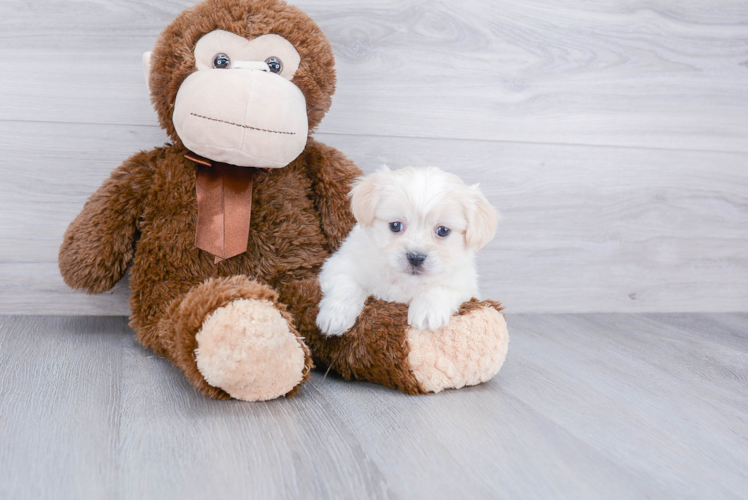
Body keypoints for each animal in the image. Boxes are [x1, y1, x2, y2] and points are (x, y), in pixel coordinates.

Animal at [314, 168, 496, 336]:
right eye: (395, 226)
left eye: (443, 231)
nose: (415, 257)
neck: (404, 279)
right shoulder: (338, 265)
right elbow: (347, 285)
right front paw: (336, 316)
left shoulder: (465, 286)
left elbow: (439, 287)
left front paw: (427, 311)